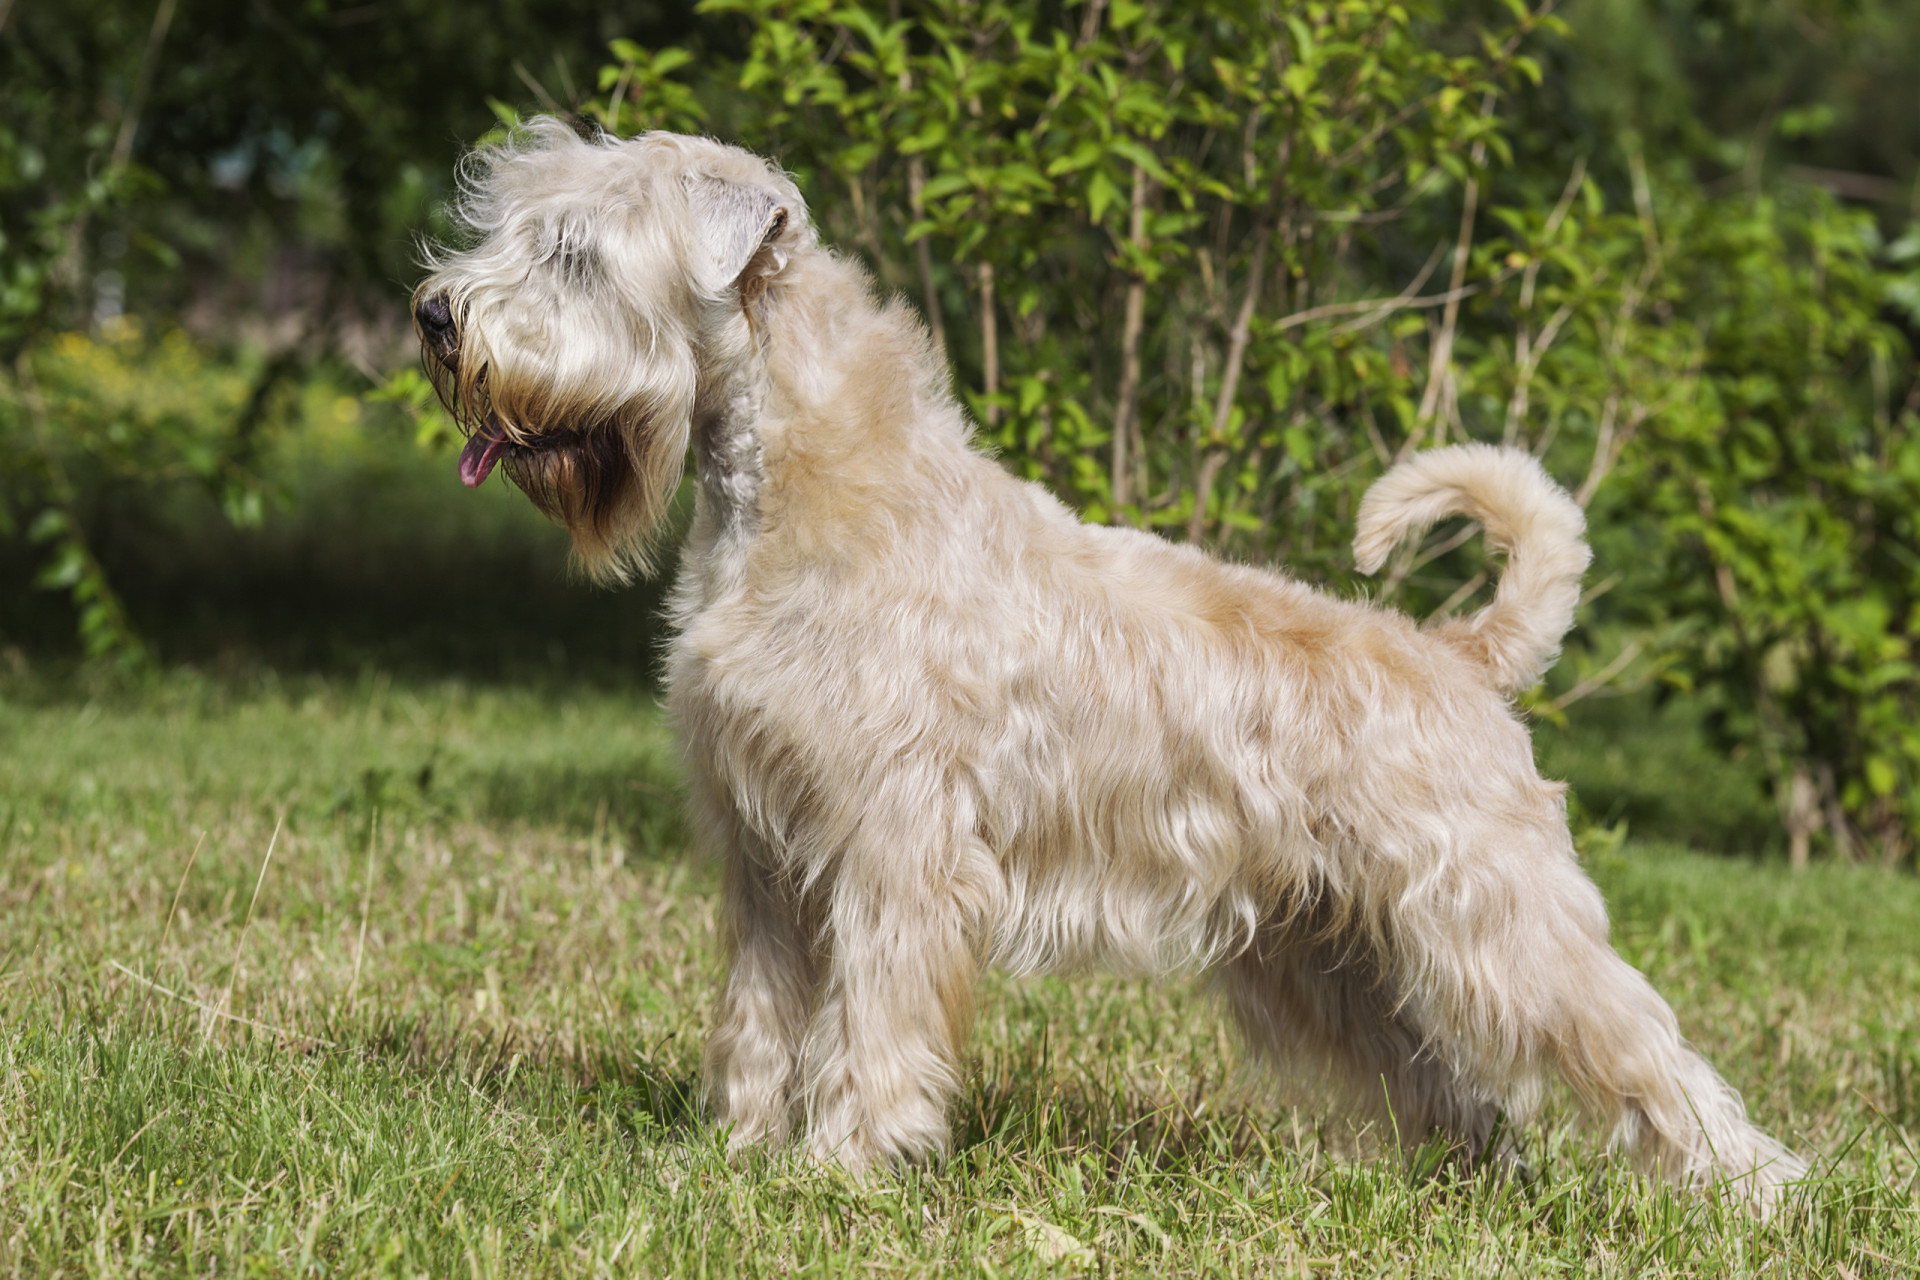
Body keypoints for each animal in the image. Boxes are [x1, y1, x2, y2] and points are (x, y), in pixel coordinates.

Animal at [412, 117, 1804, 1205]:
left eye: (576, 251)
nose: (434, 313)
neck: (795, 496)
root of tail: (1459, 655)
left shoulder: (894, 842)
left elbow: (873, 1014)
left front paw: (844, 1164)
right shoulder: (763, 851)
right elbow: (762, 1013)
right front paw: (735, 1152)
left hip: (1501, 918)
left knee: (1644, 1052)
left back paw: (1757, 1194)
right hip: (1327, 956)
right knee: (1455, 1091)